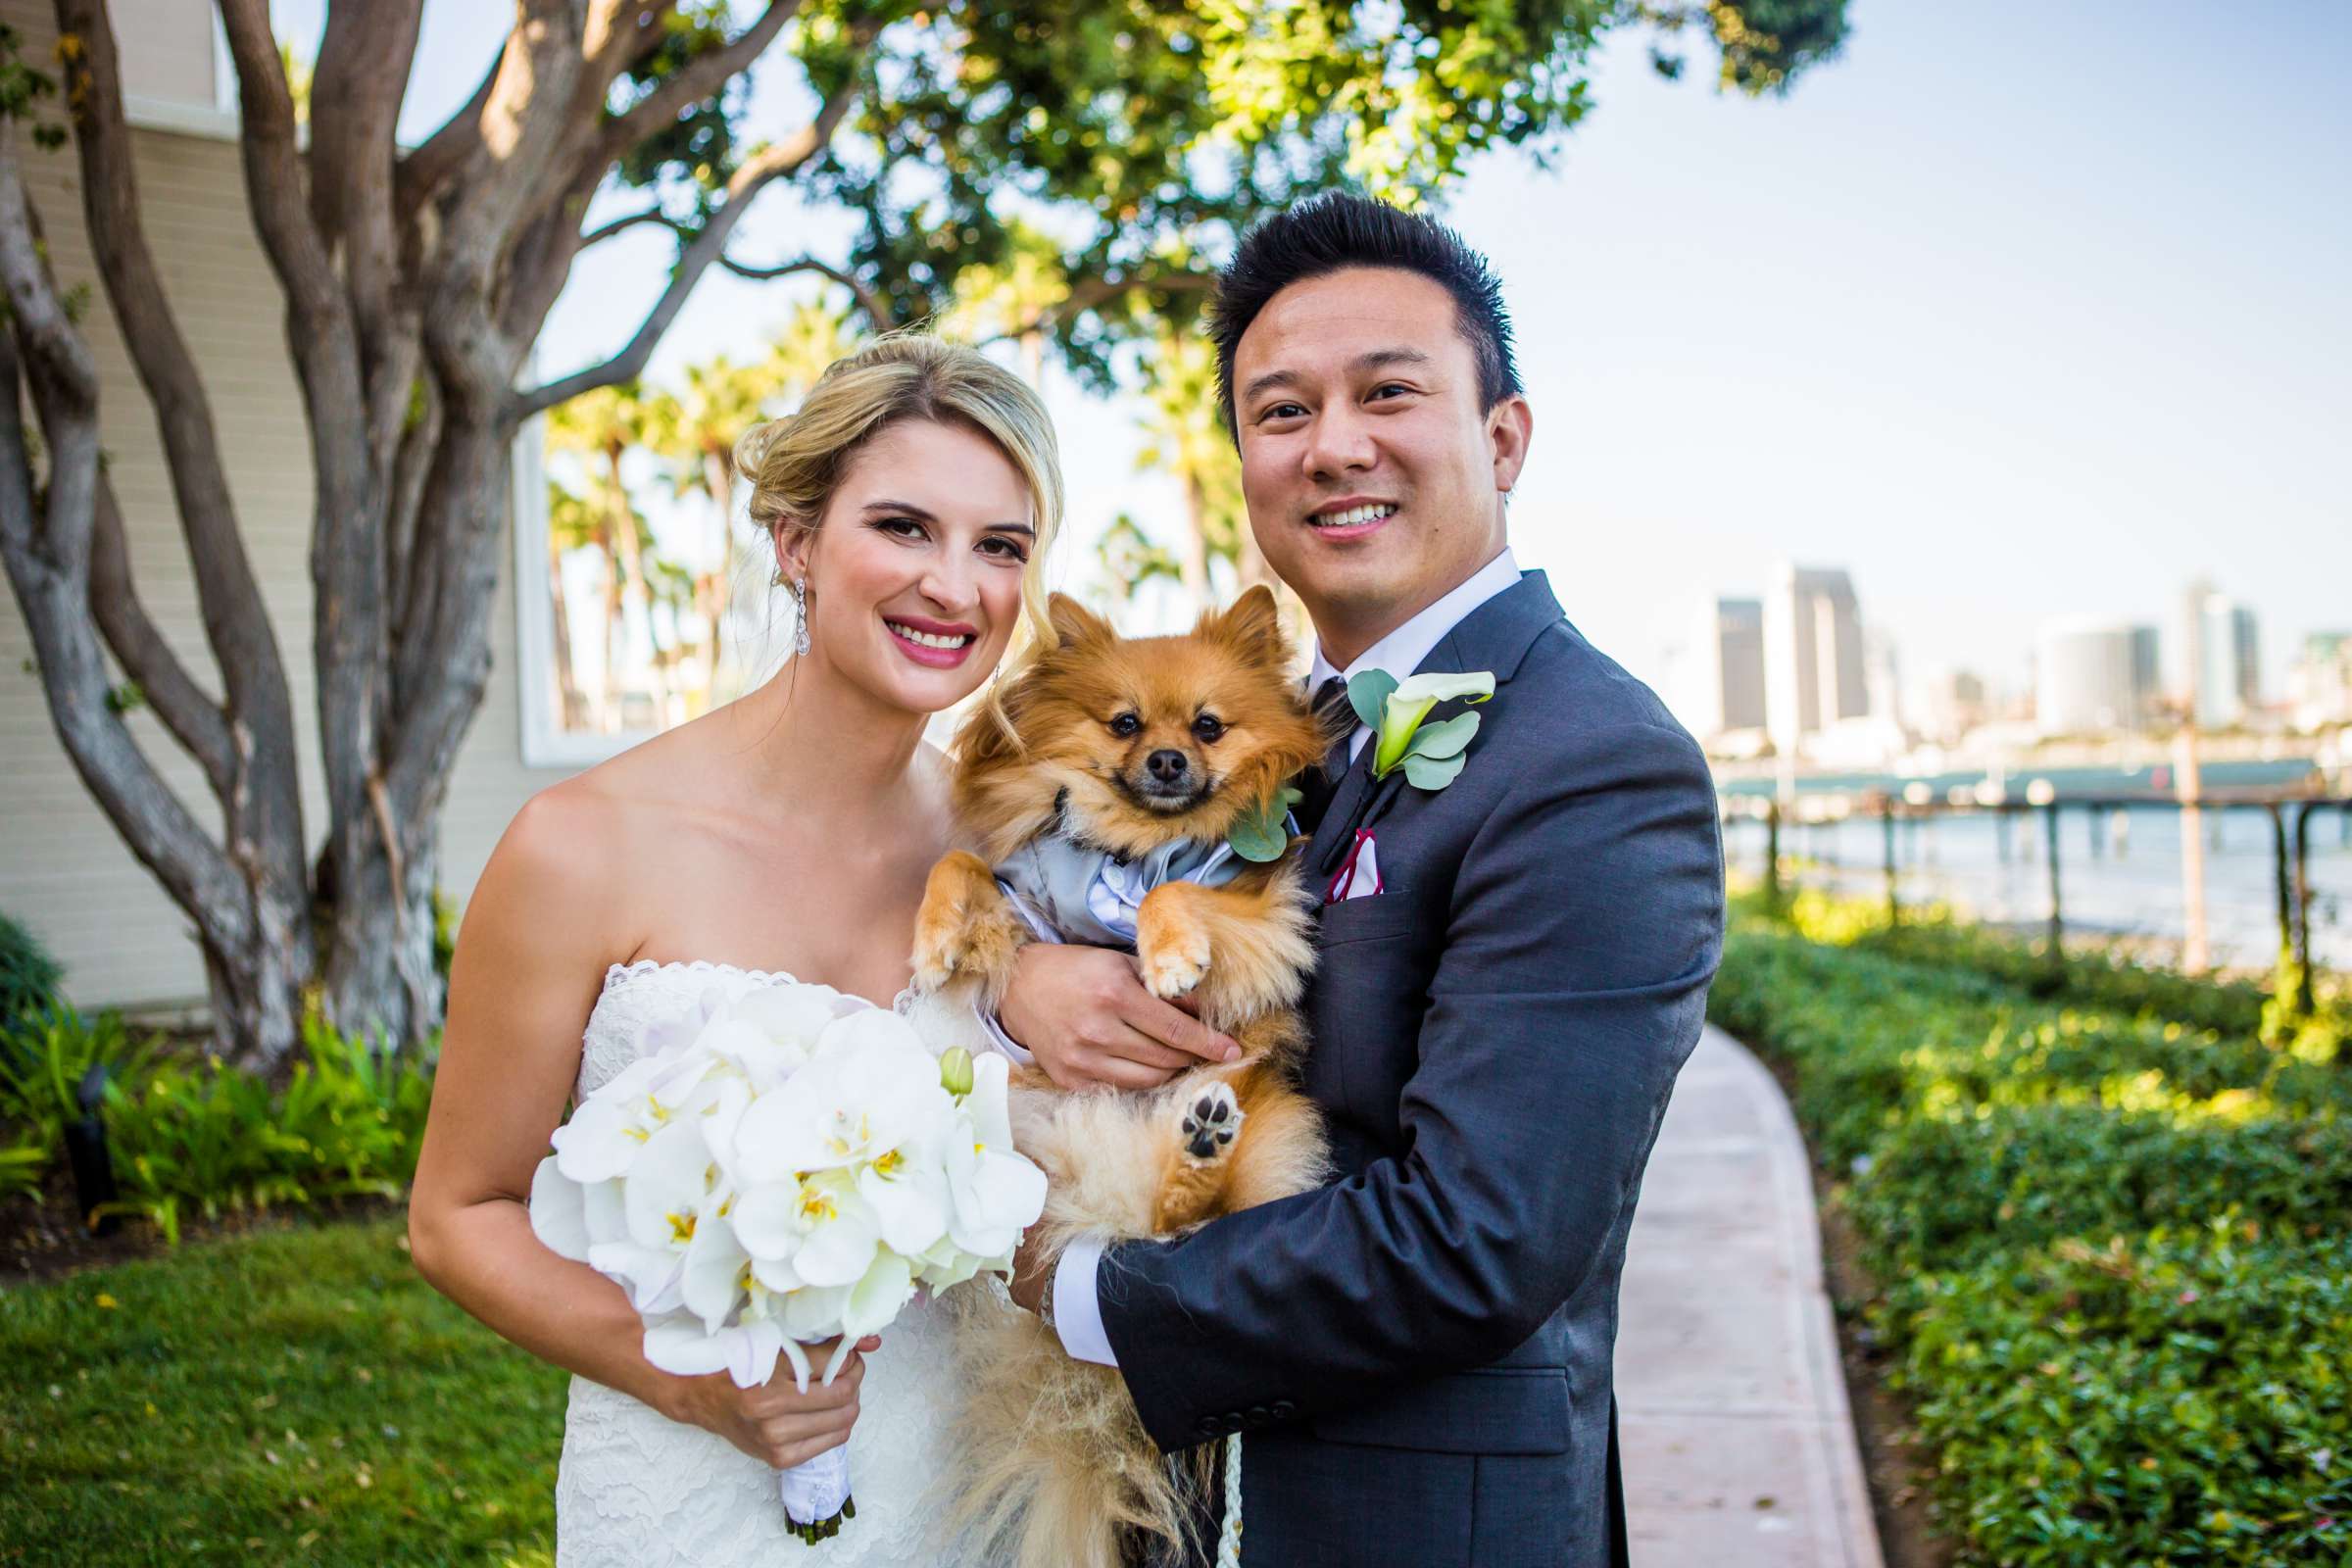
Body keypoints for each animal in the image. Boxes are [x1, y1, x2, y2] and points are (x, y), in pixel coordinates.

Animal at [907, 585, 1336, 1568]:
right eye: (1126, 723)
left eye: (1210, 726)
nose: (1170, 759)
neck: (1132, 845)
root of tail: (1102, 1206)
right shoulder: (1025, 896)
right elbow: (962, 863)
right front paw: (937, 932)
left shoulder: (1258, 905)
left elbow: (1177, 895)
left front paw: (1168, 953)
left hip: (1268, 1117)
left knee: (1183, 1221)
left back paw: (1199, 1143)